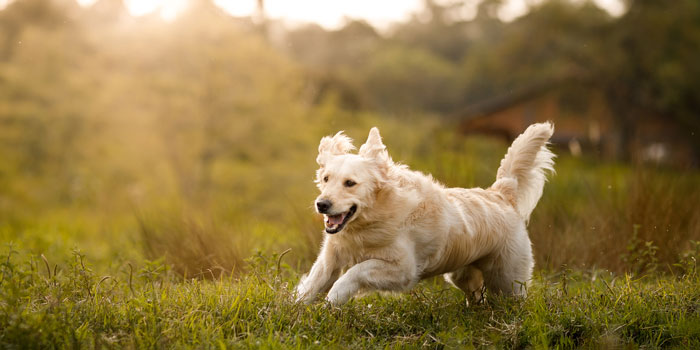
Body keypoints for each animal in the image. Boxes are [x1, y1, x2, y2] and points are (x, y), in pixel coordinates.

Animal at [294, 124, 552, 304]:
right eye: (326, 178)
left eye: (350, 183)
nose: (322, 204)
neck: (373, 218)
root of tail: (502, 192)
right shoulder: (330, 257)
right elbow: (312, 284)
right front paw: (295, 310)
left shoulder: (403, 269)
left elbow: (356, 270)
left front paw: (335, 297)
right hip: (462, 275)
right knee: (477, 295)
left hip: (507, 281)